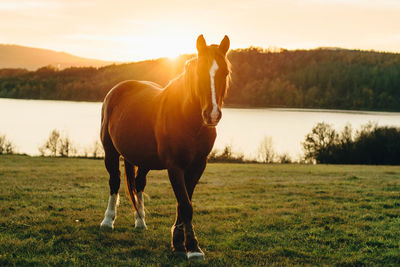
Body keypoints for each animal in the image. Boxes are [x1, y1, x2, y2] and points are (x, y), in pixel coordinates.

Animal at [99, 34, 231, 260]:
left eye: (225, 72)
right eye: (199, 72)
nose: (212, 115)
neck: (187, 118)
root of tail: (117, 89)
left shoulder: (198, 166)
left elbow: (183, 203)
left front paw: (179, 243)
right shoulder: (174, 166)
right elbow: (185, 205)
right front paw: (193, 248)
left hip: (143, 159)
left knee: (138, 183)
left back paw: (140, 221)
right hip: (111, 152)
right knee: (114, 182)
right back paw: (108, 221)